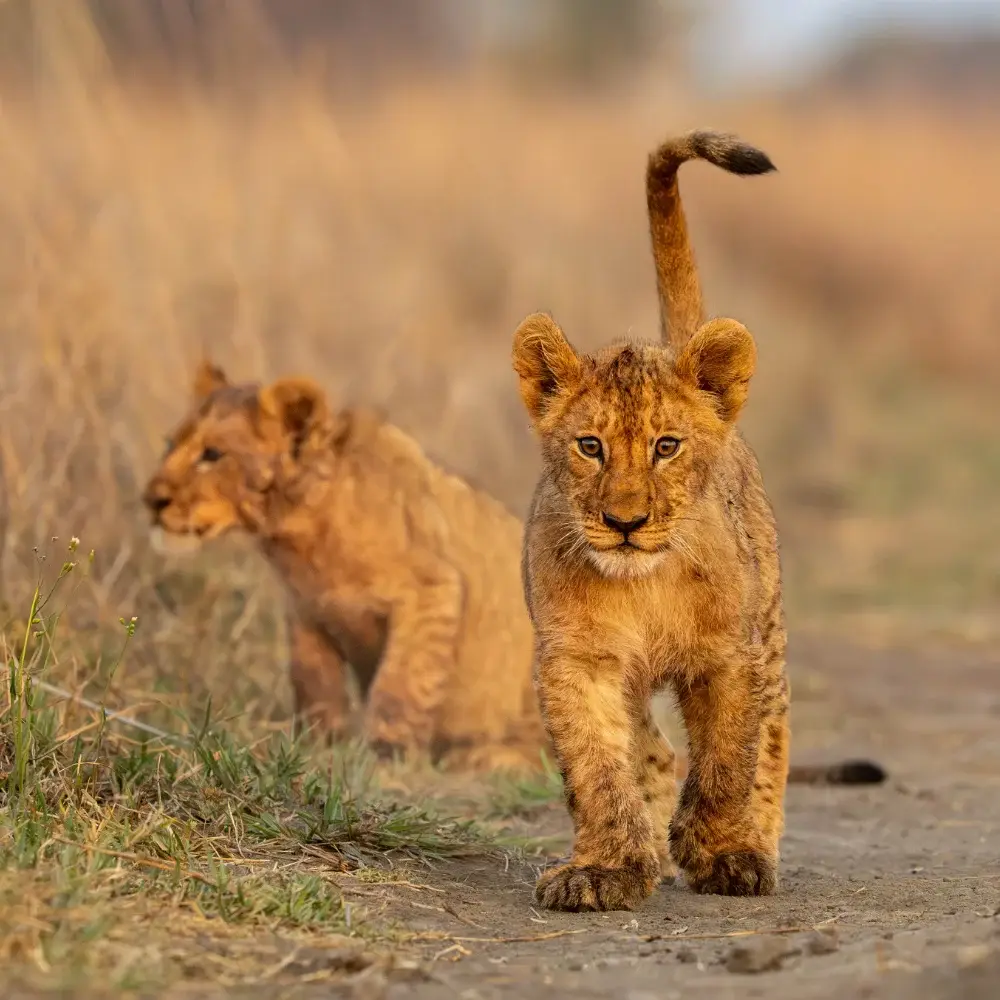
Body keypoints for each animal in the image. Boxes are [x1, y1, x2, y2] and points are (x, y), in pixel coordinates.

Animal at [141, 364, 545, 773]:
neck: (303, 538)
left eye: (212, 454)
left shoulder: (432, 588)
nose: (151, 500)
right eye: (169, 445)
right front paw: (319, 747)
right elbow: (314, 681)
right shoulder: (306, 610)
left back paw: (489, 756)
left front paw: (387, 756)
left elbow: (400, 683)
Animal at [511, 128, 798, 911]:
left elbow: (728, 760)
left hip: (771, 627)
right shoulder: (576, 658)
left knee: (772, 738)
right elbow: (597, 767)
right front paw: (608, 867)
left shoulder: (731, 656)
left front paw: (720, 851)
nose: (625, 522)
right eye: (590, 447)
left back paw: (756, 844)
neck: (644, 584)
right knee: (655, 751)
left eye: (667, 446)